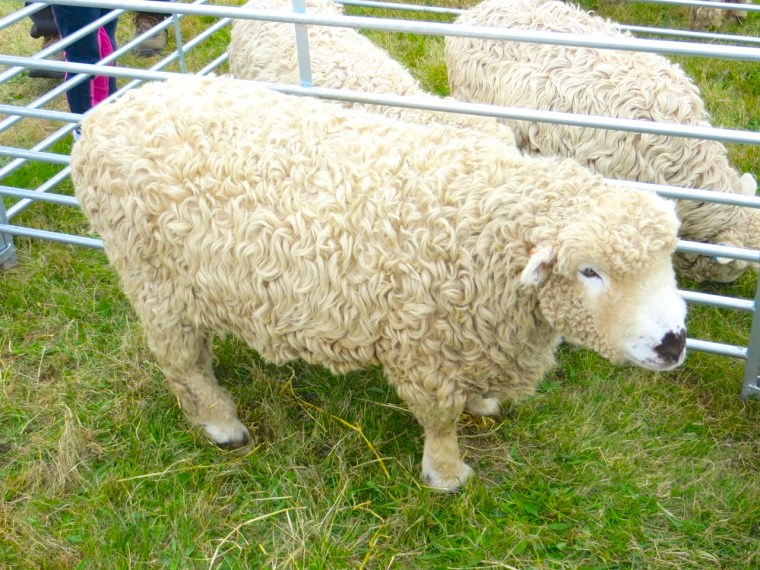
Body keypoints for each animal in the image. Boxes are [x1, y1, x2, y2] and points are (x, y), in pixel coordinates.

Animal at [71, 75, 687, 491]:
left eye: (668, 257)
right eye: (590, 270)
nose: (673, 342)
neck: (487, 223)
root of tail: (108, 113)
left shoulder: (474, 334)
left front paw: (483, 404)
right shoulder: (424, 348)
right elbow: (440, 421)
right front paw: (446, 474)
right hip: (152, 282)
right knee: (181, 362)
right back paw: (222, 424)